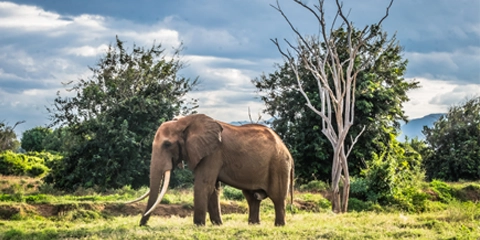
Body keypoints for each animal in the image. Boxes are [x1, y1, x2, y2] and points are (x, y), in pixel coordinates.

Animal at [126, 113, 292, 226]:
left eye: (167, 144)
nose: (142, 225)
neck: (185, 122)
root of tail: (286, 150)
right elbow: (213, 188)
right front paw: (218, 225)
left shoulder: (213, 153)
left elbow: (203, 184)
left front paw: (198, 225)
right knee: (252, 198)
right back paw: (253, 224)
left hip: (278, 165)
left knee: (277, 197)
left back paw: (279, 226)